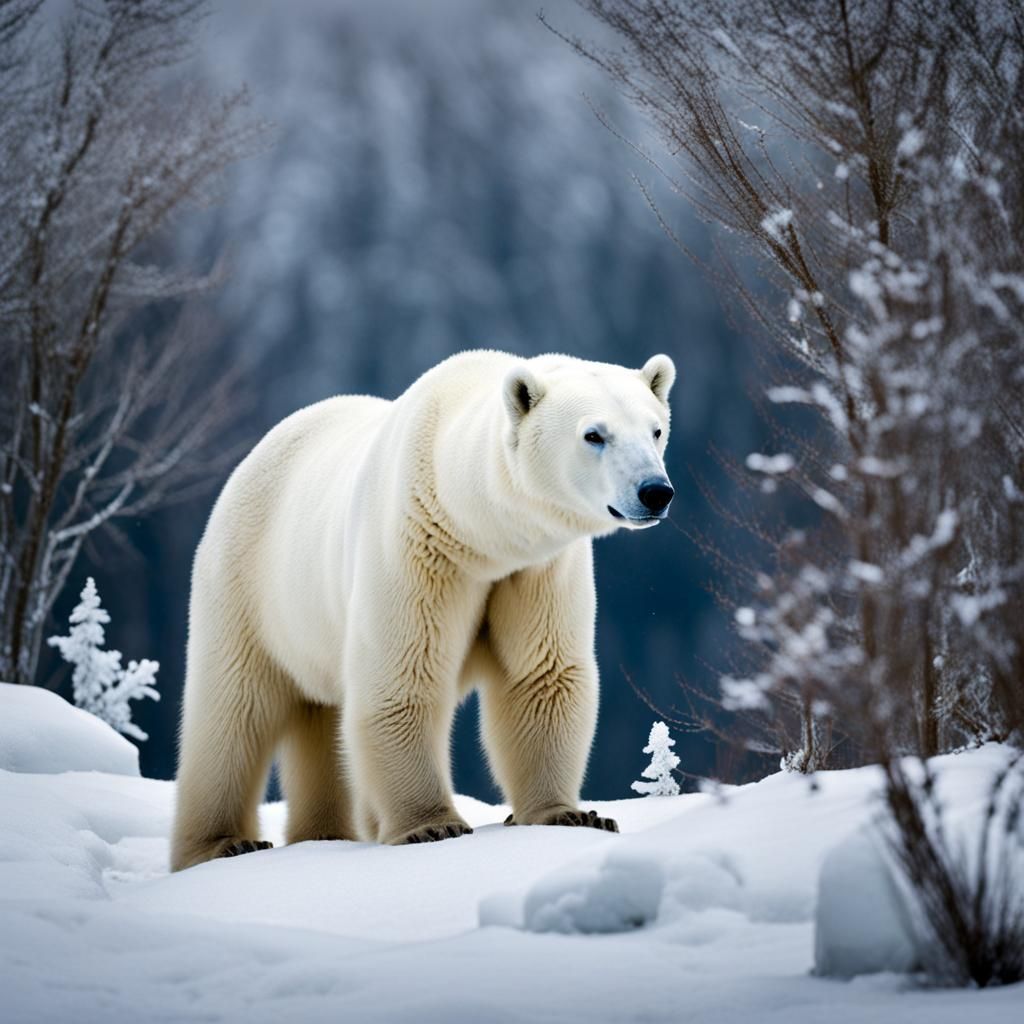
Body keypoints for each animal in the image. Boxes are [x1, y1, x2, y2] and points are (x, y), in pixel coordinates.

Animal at [170, 349, 675, 870]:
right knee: (232, 711)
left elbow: (541, 674)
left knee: (320, 718)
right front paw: (431, 826)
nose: (655, 491)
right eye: (594, 434)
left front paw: (569, 814)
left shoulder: (537, 569)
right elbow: (402, 674)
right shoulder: (418, 549)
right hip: (248, 586)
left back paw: (324, 834)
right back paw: (223, 843)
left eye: (655, 429)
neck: (475, 527)